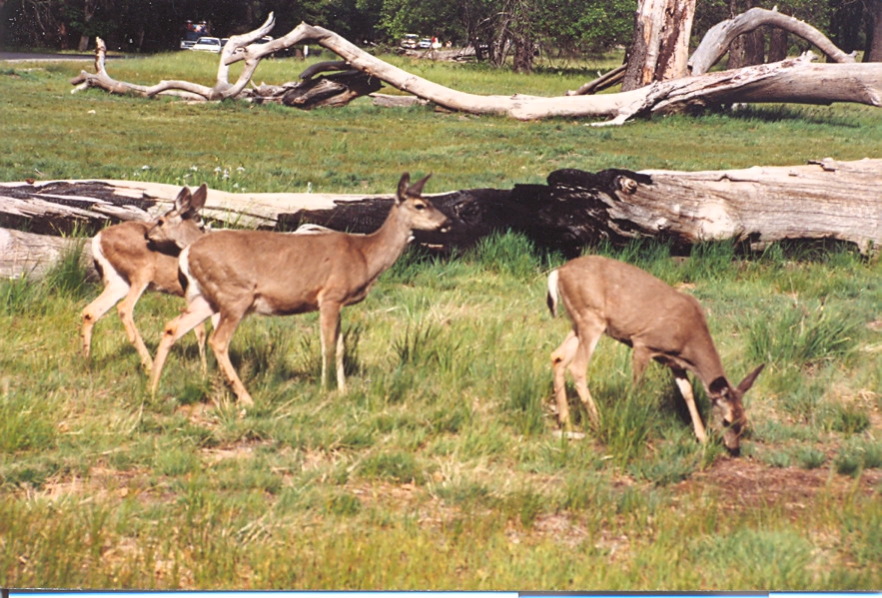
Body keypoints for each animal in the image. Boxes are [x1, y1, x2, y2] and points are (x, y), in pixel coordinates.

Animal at [81, 183, 208, 372]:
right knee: (124, 308)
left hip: (118, 282)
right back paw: (149, 365)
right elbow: (200, 330)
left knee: (90, 312)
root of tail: (97, 238)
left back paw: (86, 362)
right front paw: (205, 372)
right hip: (141, 273)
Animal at [150, 173, 446, 408]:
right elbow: (327, 345)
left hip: (205, 298)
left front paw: (342, 390)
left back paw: (152, 388)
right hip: (235, 295)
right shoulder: (330, 295)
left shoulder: (337, 302)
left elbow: (341, 346)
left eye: (430, 202)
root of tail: (188, 252)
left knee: (173, 328)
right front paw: (325, 389)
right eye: (420, 205)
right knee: (218, 341)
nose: (446, 222)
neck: (364, 255)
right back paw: (247, 398)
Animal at [544, 253, 764, 454]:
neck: (689, 342)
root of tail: (559, 271)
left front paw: (702, 437)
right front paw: (627, 419)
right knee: (577, 367)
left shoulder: (675, 363)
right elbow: (636, 387)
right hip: (592, 318)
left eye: (744, 421)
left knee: (557, 357)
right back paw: (598, 422)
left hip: (577, 322)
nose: (734, 448)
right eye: (726, 420)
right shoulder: (643, 343)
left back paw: (566, 421)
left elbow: (687, 392)